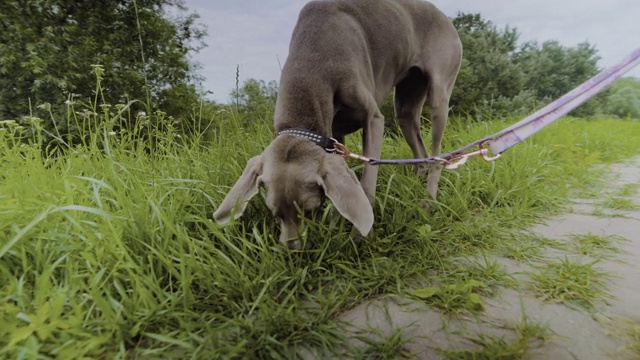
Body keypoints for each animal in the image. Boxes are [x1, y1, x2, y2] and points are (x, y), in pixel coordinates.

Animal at [214, 0, 460, 248]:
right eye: (275, 214)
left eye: (309, 211)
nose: (292, 251)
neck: (311, 64)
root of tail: (444, 17)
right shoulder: (334, 135)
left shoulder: (373, 119)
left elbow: (366, 183)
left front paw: (360, 237)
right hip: (406, 105)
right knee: (421, 151)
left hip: (440, 90)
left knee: (438, 154)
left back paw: (429, 200)